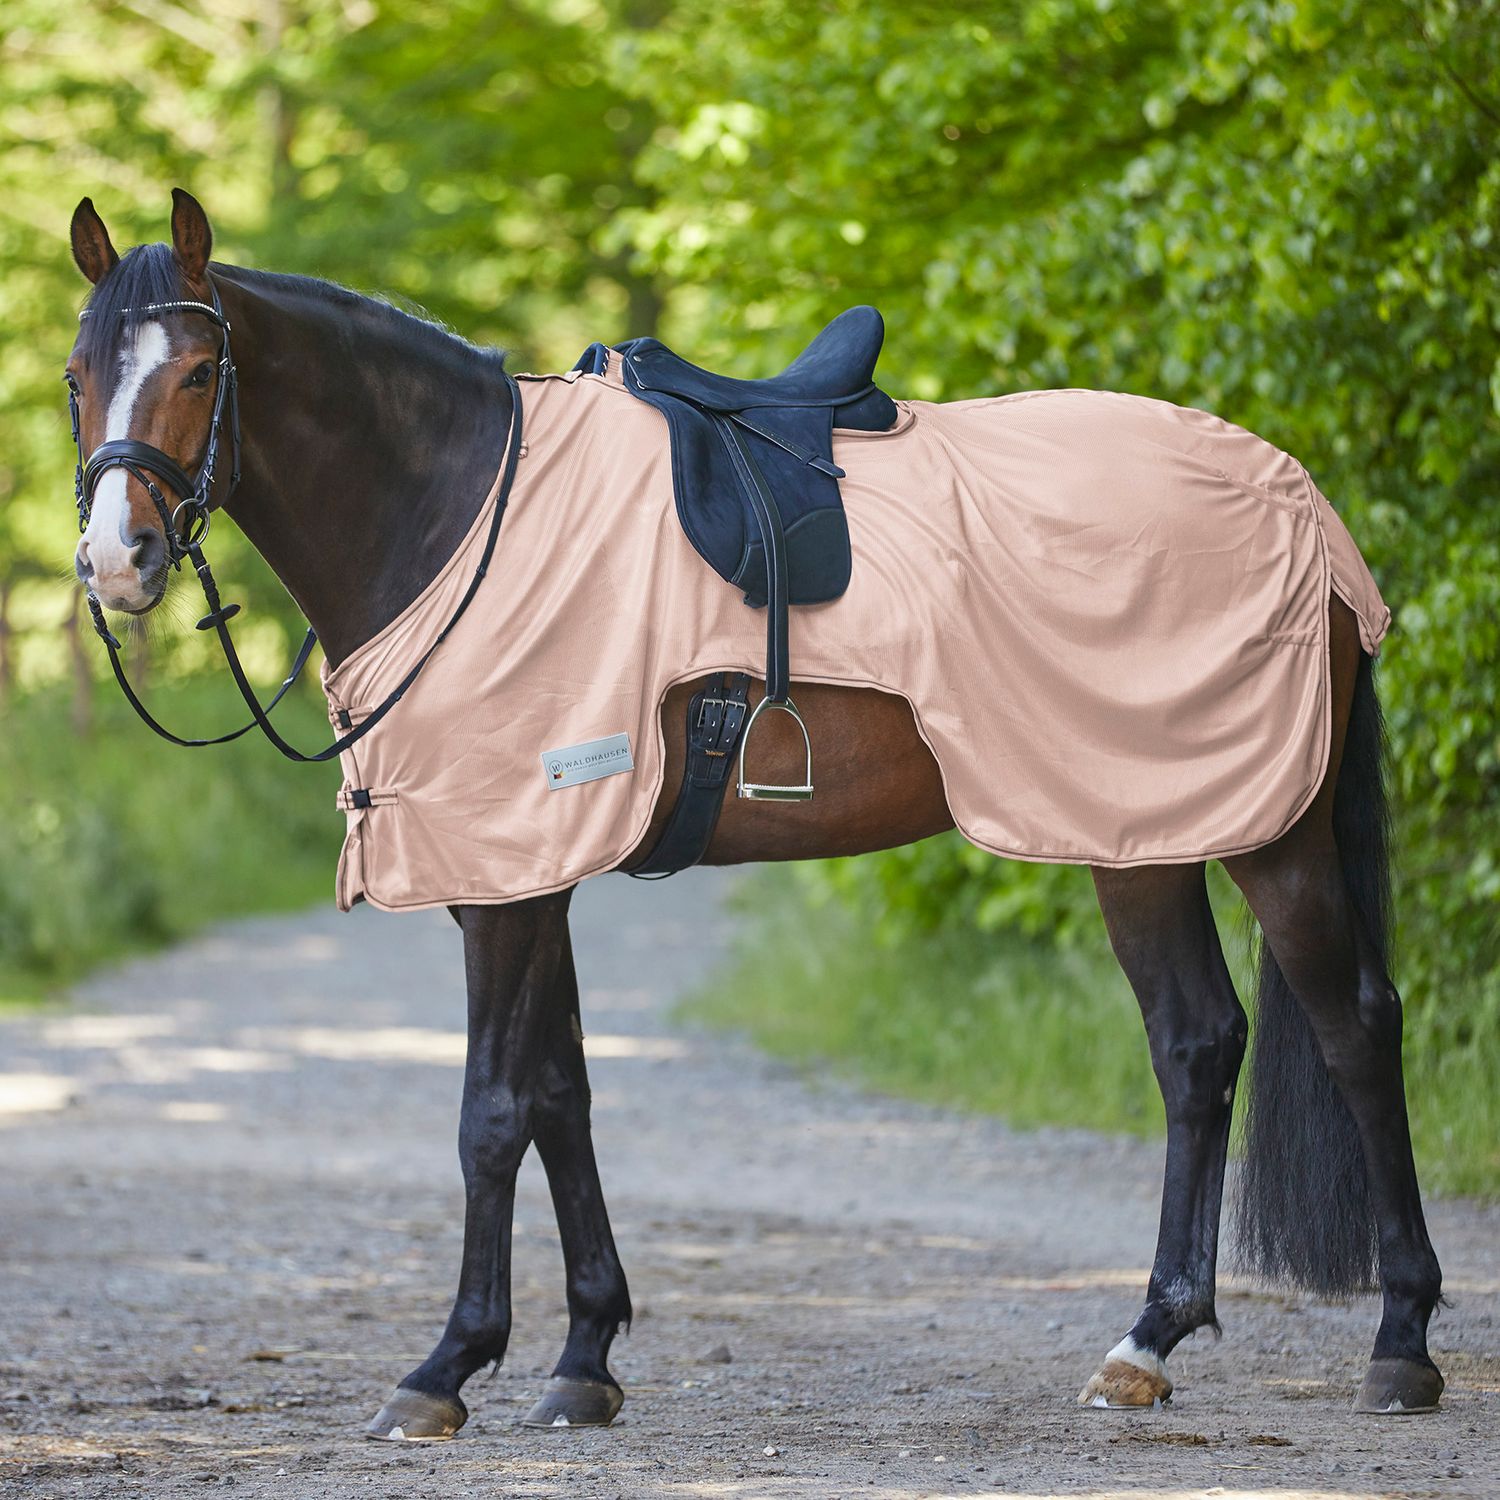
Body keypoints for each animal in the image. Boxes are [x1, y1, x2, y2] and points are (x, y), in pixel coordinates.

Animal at [55, 193, 1440, 1434]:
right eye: (77, 376)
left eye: (197, 372)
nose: (119, 563)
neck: (458, 511)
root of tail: (1303, 505)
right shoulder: (530, 872)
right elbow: (561, 1095)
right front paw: (585, 1359)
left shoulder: (512, 876)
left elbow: (491, 1116)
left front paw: (447, 1368)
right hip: (1137, 829)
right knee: (1197, 1045)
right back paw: (1147, 1343)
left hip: (1265, 830)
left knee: (1357, 1026)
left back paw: (1401, 1344)